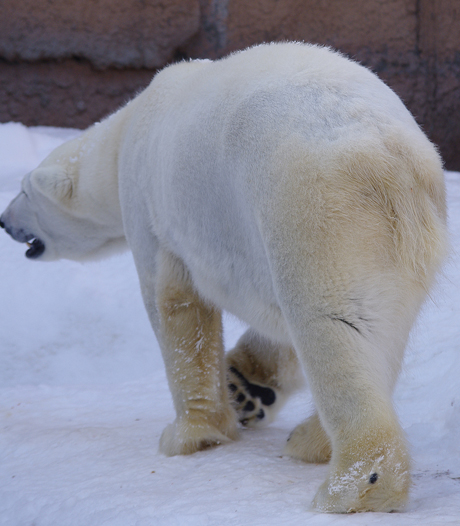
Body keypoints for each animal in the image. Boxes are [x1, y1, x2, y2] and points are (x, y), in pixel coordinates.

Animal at [0, 43, 446, 512]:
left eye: (25, 191)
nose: (4, 221)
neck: (124, 138)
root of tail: (393, 162)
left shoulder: (152, 208)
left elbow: (175, 309)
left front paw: (189, 435)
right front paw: (244, 387)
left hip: (313, 212)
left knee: (334, 330)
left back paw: (349, 487)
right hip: (400, 246)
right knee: (379, 335)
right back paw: (310, 438)